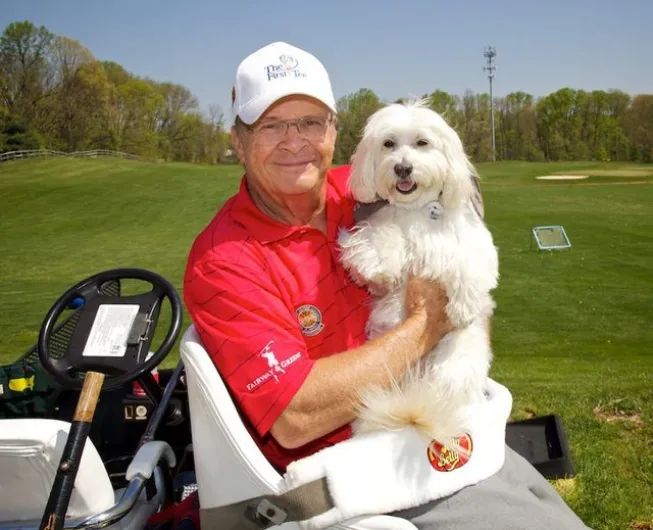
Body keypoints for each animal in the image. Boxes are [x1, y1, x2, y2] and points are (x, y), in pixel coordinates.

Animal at [336, 100, 500, 446]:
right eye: (388, 144)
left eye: (422, 143)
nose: (402, 168)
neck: (417, 211)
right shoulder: (380, 227)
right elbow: (383, 238)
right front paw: (381, 260)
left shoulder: (475, 246)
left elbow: (464, 262)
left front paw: (463, 307)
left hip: (453, 364)